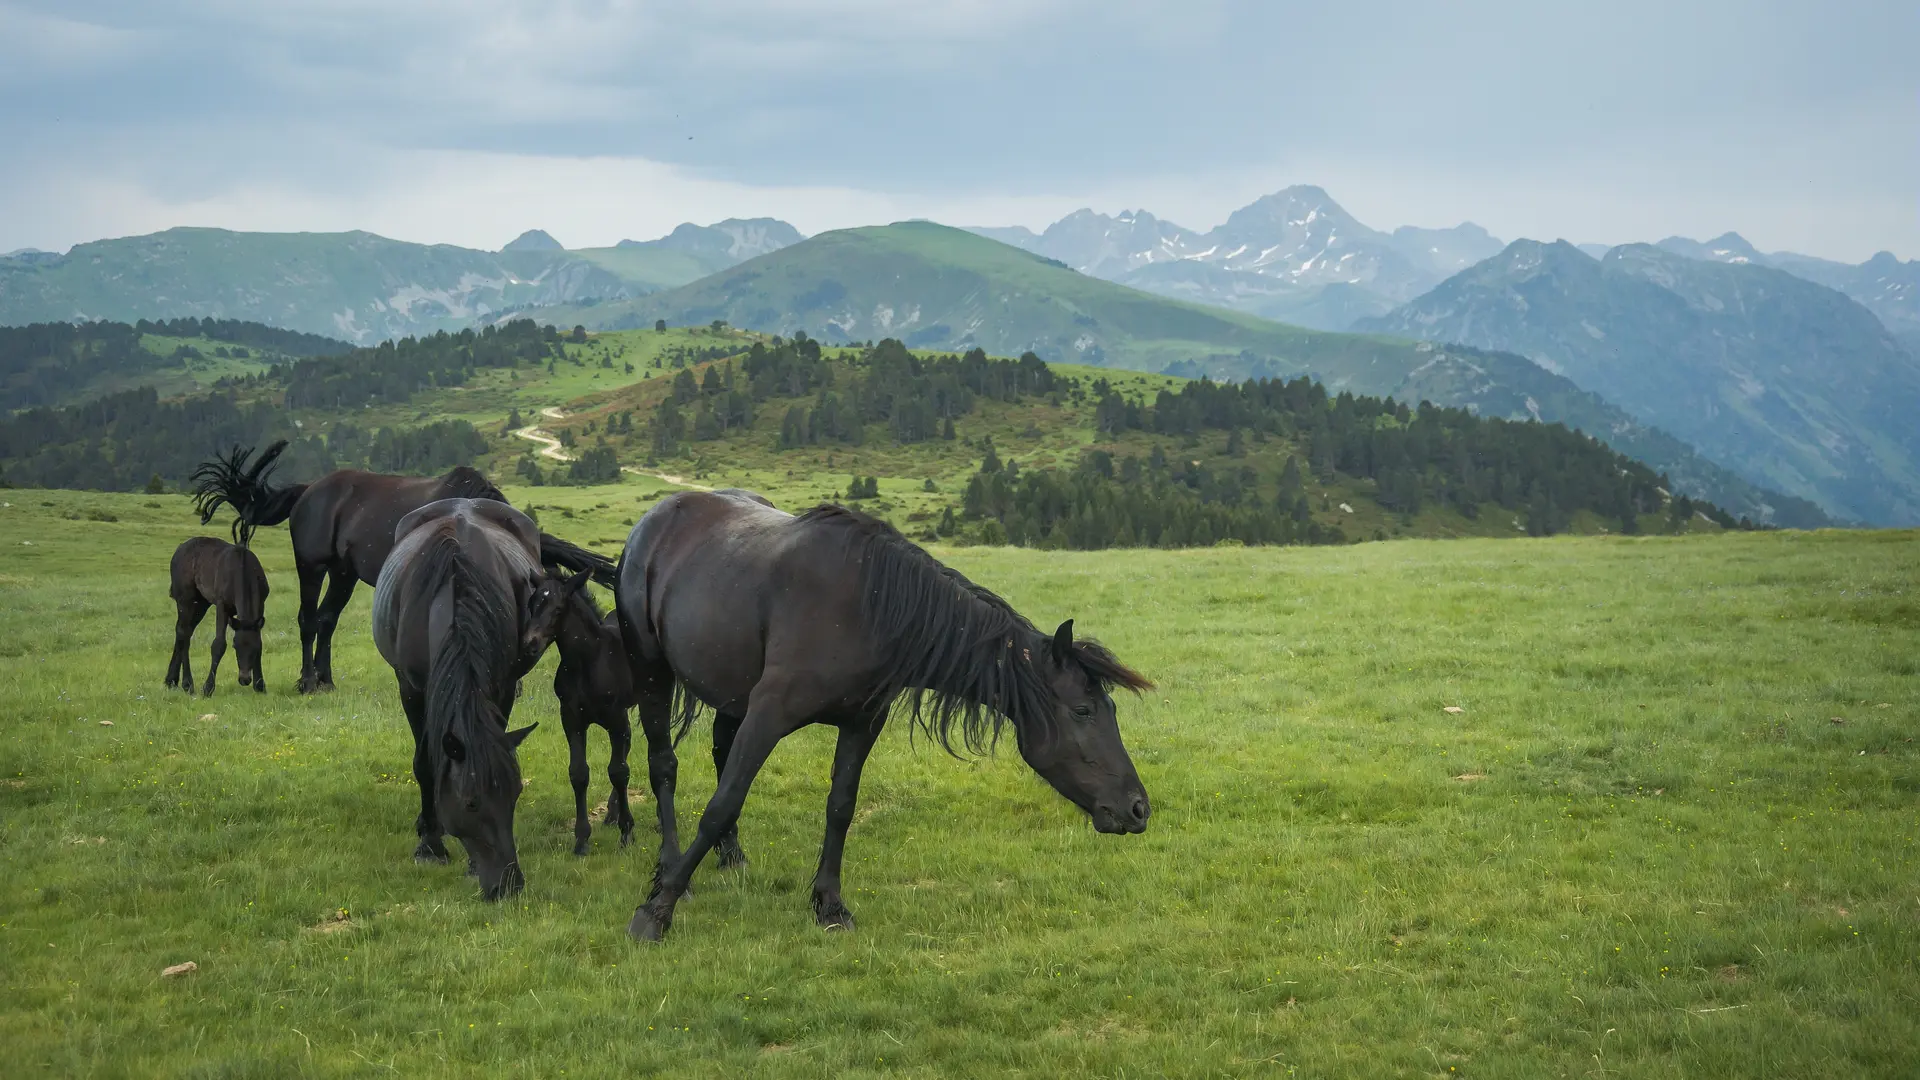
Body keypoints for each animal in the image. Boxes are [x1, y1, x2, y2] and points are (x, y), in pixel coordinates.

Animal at [165, 536, 270, 696]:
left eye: (254, 648)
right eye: (235, 645)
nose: (244, 679)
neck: (242, 570)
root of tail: (179, 549)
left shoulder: (260, 606)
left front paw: (260, 685)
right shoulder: (222, 606)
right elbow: (219, 644)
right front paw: (208, 688)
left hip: (202, 603)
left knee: (184, 631)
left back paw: (171, 680)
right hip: (185, 599)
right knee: (183, 632)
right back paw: (187, 684)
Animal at [192, 441, 615, 694]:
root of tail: (308, 490)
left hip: (343, 573)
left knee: (327, 619)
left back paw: (327, 680)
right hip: (311, 566)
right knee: (309, 620)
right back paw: (308, 681)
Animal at [371, 497, 554, 900]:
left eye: (516, 794)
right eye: (471, 803)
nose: (509, 885)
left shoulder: (502, 686)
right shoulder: (411, 689)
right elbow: (425, 763)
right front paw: (430, 844)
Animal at [614, 490, 1154, 942]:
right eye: (1083, 710)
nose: (1138, 809)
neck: (868, 607)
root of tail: (653, 518)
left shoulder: (861, 723)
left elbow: (840, 807)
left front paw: (830, 906)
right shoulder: (768, 714)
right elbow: (721, 803)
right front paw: (655, 913)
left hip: (731, 697)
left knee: (720, 752)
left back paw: (731, 856)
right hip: (653, 672)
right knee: (664, 766)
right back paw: (669, 871)